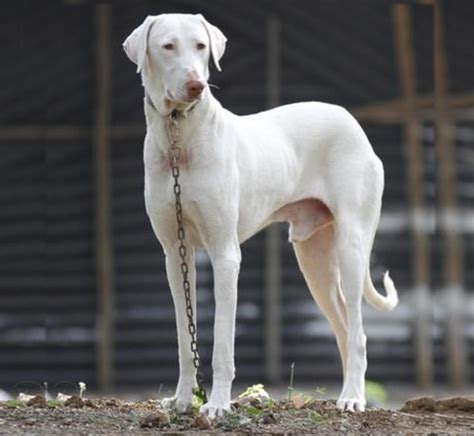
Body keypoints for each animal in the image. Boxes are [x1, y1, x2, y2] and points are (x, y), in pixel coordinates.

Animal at [124, 11, 398, 418]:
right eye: (168, 46)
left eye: (201, 46)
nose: (196, 85)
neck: (179, 134)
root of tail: (350, 120)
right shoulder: (175, 255)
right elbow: (184, 338)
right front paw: (183, 400)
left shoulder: (225, 256)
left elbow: (223, 342)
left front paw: (217, 404)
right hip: (314, 259)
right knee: (346, 329)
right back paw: (348, 391)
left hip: (351, 246)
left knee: (359, 332)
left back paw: (353, 398)